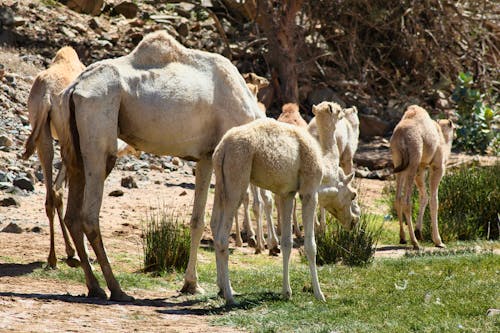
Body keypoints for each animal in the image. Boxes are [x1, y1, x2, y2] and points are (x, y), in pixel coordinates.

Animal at [57, 30, 266, 300]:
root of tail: (74, 89)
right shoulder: (224, 153)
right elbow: (216, 221)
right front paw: (216, 287)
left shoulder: (206, 156)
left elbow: (198, 221)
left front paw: (192, 284)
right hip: (99, 139)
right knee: (89, 216)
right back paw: (117, 289)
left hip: (74, 150)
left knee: (72, 215)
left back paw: (95, 287)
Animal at [210, 102, 360, 304]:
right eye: (353, 195)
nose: (354, 220)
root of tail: (223, 148)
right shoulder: (309, 191)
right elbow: (310, 245)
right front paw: (319, 294)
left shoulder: (287, 194)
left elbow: (287, 242)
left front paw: (286, 292)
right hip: (237, 177)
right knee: (222, 238)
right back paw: (230, 296)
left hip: (220, 183)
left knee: (214, 224)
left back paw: (222, 289)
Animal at [388, 105, 456, 248]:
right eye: (454, 128)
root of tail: (400, 137)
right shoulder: (437, 167)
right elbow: (434, 201)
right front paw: (438, 241)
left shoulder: (421, 167)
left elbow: (424, 197)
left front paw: (419, 231)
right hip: (413, 159)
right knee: (407, 201)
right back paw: (415, 243)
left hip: (399, 162)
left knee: (398, 198)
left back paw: (403, 238)